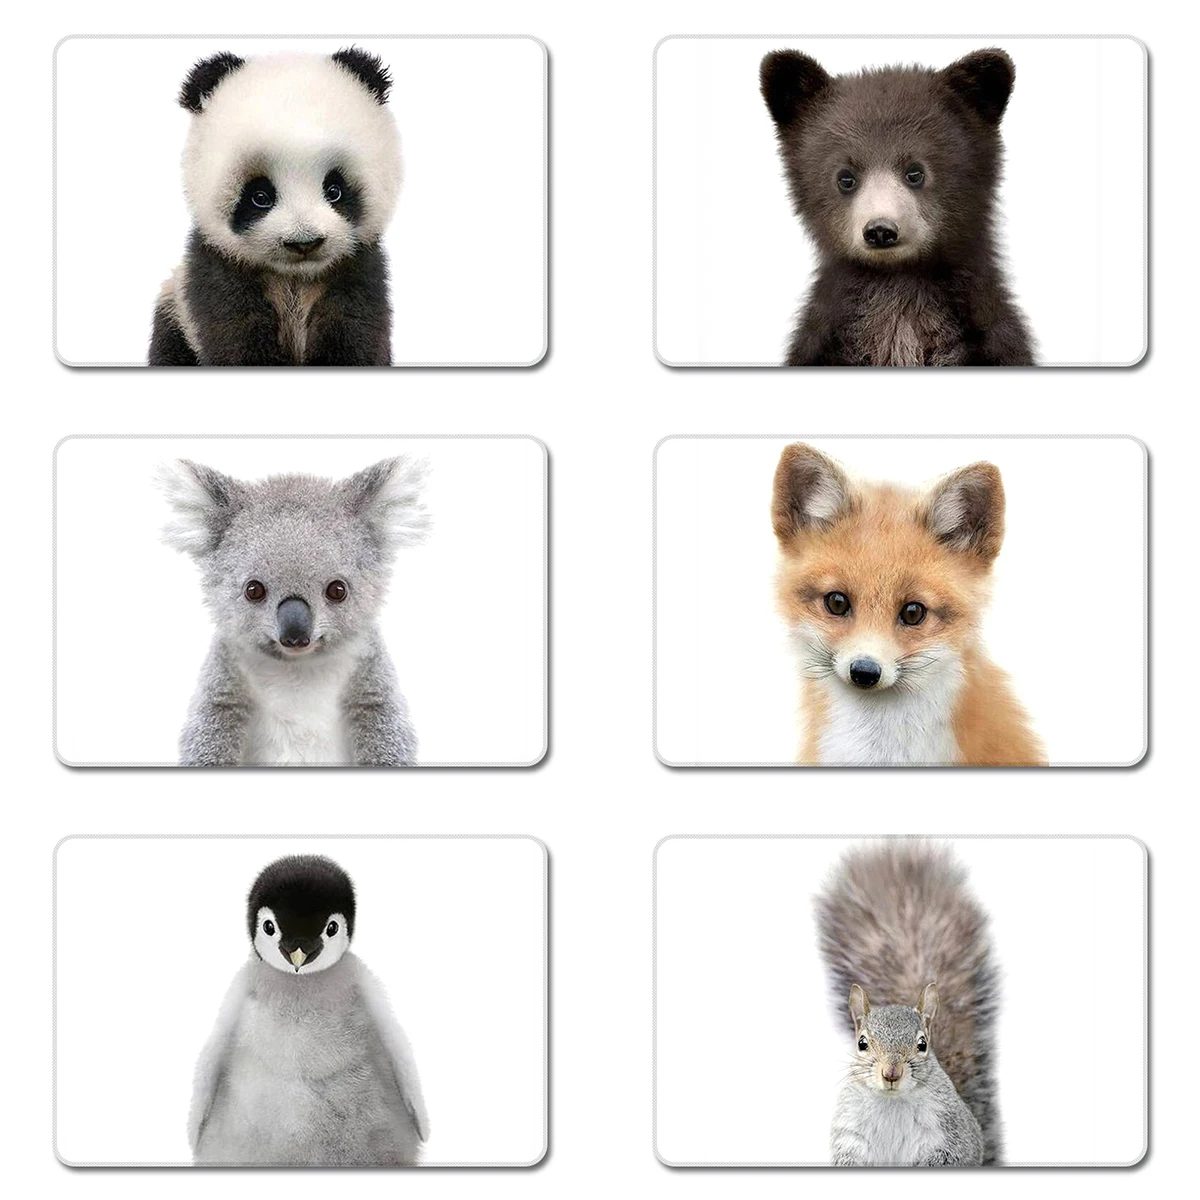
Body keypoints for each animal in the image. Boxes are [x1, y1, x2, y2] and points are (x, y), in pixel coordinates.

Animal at [759, 47, 1034, 366]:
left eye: (915, 172)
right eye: (845, 177)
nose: (880, 231)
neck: (898, 279)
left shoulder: (988, 338)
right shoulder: (823, 341)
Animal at [815, 842, 1001, 1166]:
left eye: (922, 1044)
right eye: (862, 1043)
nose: (891, 1073)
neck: (892, 1102)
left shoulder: (951, 1137)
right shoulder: (850, 1136)